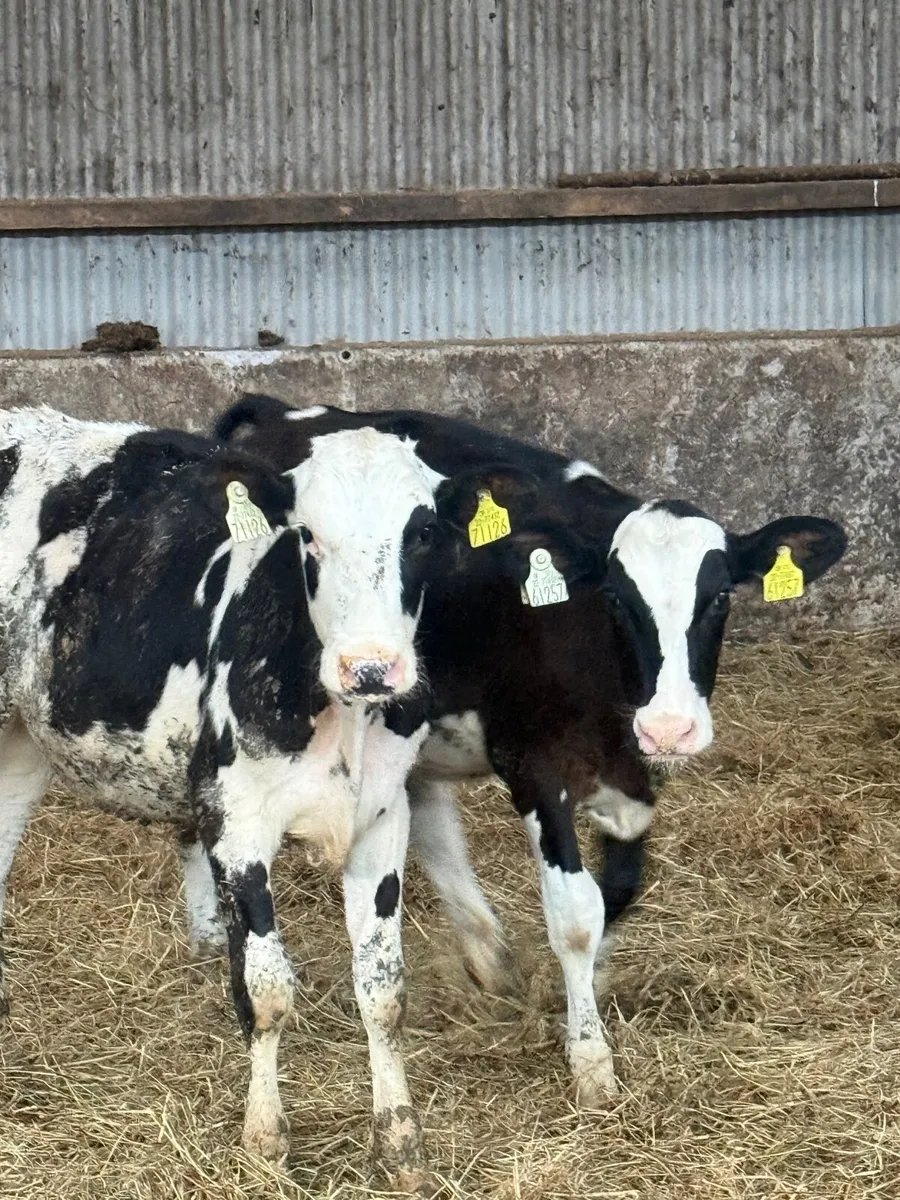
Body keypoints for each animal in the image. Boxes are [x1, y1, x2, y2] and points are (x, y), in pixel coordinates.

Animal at [0, 405, 543, 1190]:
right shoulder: (238, 826)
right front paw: (264, 1138)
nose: (371, 667)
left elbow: (384, 990)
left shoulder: (383, 819)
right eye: (306, 534)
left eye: (422, 533)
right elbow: (265, 992)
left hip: (20, 735)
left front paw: (401, 1140)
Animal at [214, 394, 847, 1108]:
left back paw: (491, 959)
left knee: (429, 817)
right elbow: (574, 913)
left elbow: (618, 889)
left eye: (717, 598)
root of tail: (283, 410)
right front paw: (591, 1059)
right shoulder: (534, 766)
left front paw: (586, 988)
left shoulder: (634, 778)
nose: (672, 728)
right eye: (617, 599)